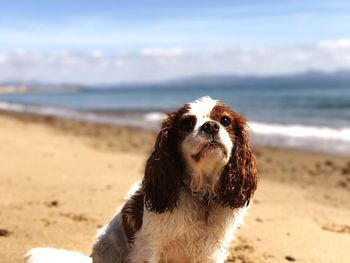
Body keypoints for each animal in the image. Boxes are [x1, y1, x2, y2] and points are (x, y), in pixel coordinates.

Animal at [25, 97, 258, 263]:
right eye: (187, 123)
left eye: (225, 120)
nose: (210, 126)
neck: (201, 195)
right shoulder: (149, 247)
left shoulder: (211, 252)